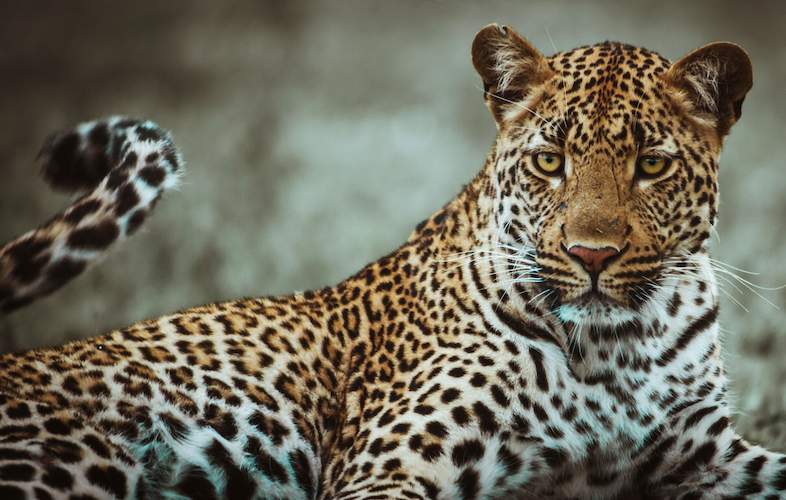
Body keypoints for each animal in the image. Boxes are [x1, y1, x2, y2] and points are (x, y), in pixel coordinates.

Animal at [0, 23, 784, 499]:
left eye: (651, 165)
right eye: (549, 161)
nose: (591, 256)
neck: (618, 346)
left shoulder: (705, 456)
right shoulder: (390, 467)